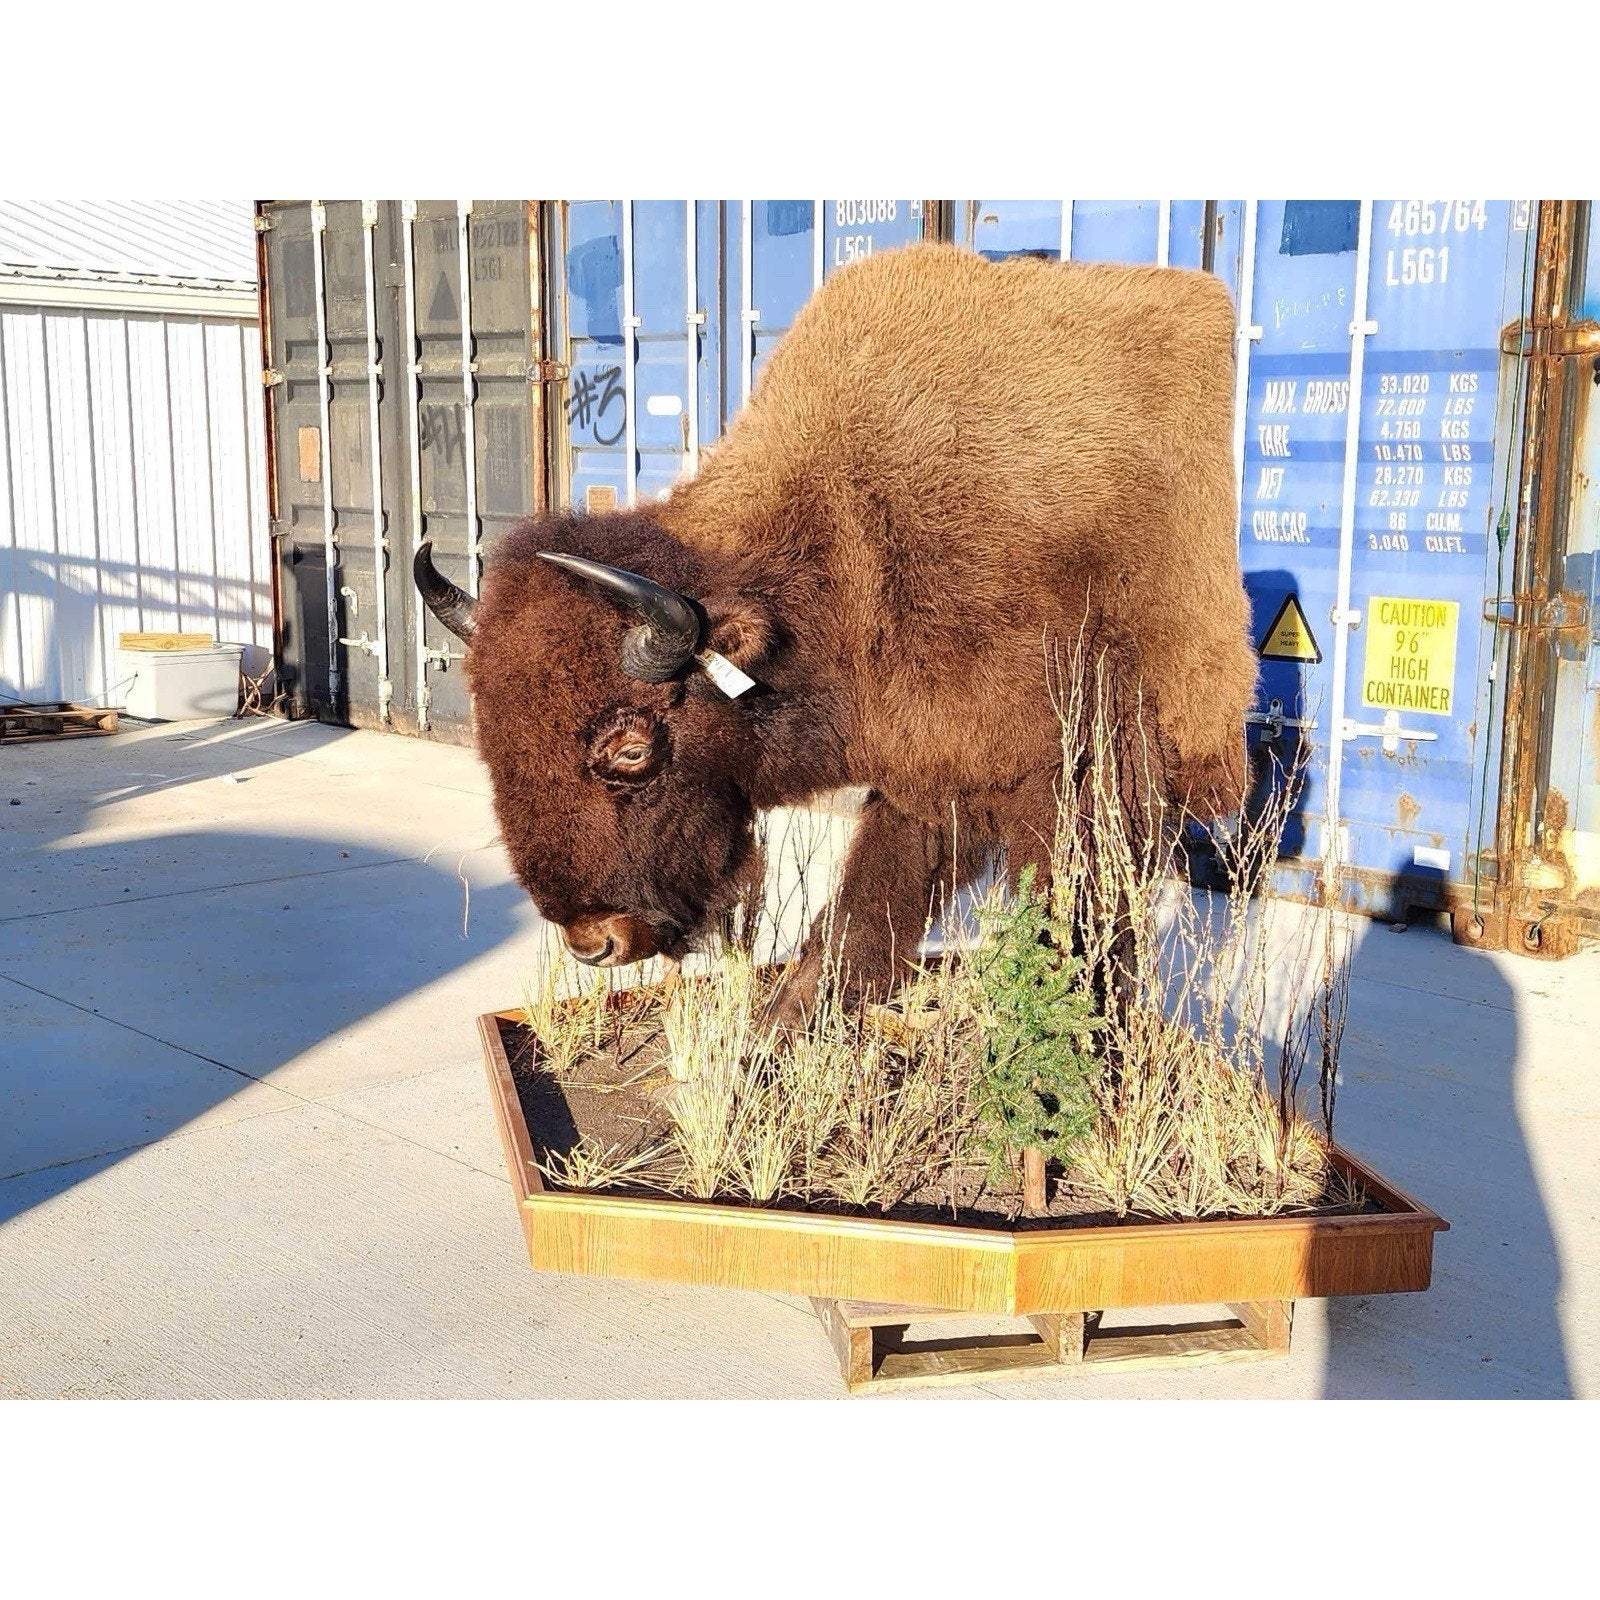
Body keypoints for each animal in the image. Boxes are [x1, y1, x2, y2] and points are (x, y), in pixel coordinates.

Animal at [415, 242, 1257, 1022]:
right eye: (492, 737)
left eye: (631, 748)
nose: (599, 942)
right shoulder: (927, 774)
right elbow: (864, 913)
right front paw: (783, 1034)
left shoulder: (1057, 775)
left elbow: (1059, 917)